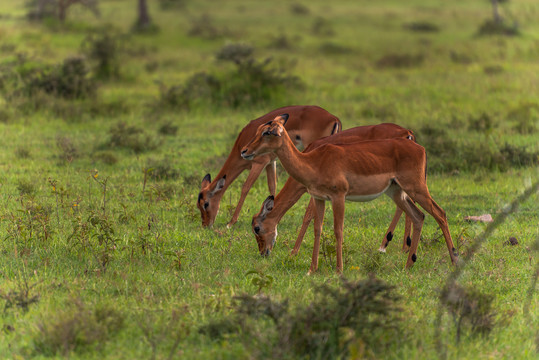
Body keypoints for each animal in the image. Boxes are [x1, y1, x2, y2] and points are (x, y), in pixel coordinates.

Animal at [198, 105, 342, 228]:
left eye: (206, 204)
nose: (206, 225)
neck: (241, 144)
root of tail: (334, 118)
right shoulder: (270, 163)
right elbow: (272, 186)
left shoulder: (259, 163)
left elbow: (245, 187)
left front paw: (231, 222)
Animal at [251, 123, 416, 256]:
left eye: (256, 228)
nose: (263, 252)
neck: (307, 159)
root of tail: (407, 133)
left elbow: (307, 216)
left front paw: (294, 252)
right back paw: (401, 246)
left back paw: (392, 247)